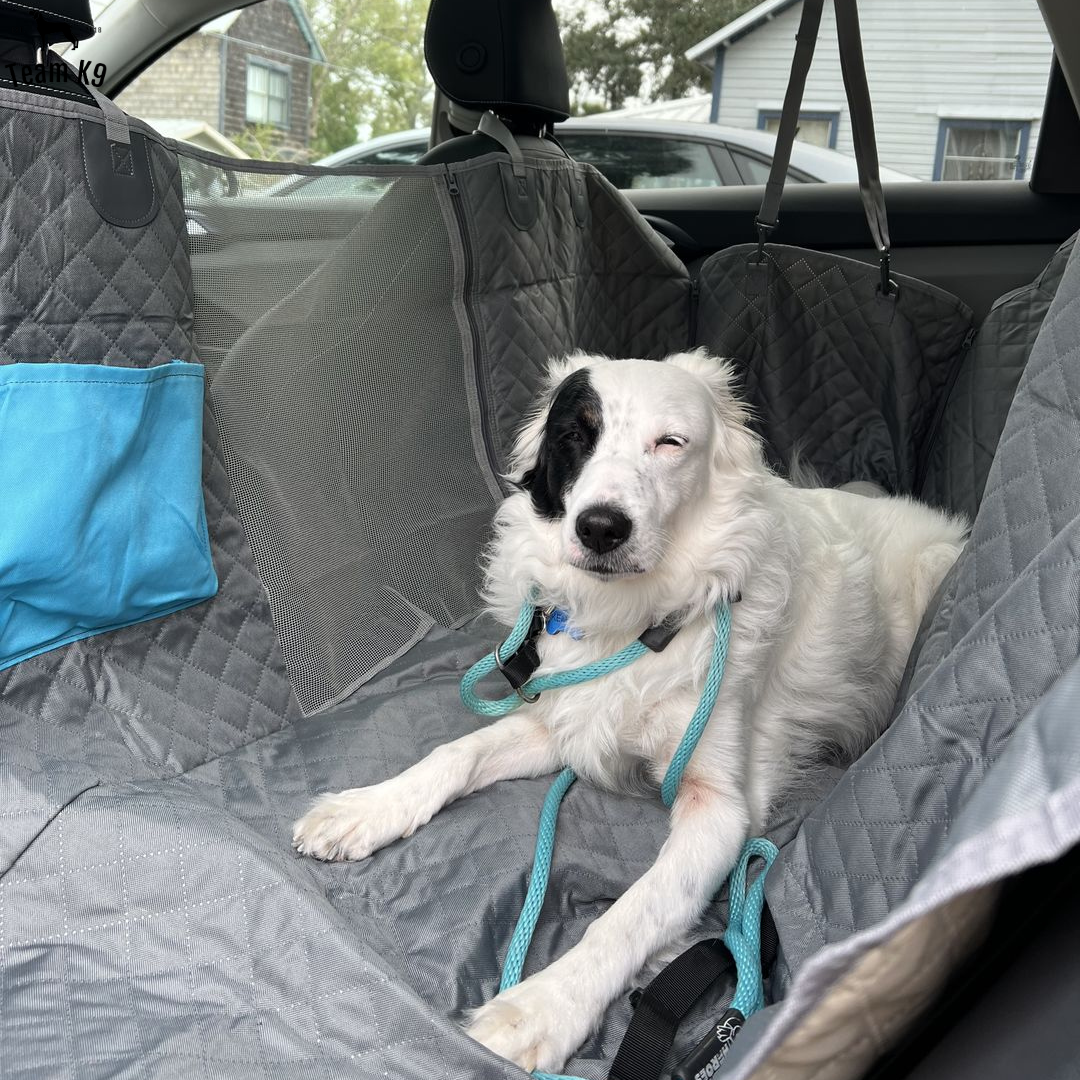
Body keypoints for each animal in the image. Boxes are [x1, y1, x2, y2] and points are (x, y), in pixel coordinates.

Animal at [291, 352, 967, 1071]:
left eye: (670, 443)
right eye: (574, 435)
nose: (600, 528)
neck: (635, 620)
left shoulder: (720, 806)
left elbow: (634, 910)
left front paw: (541, 1009)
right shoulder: (565, 719)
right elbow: (456, 752)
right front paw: (365, 808)